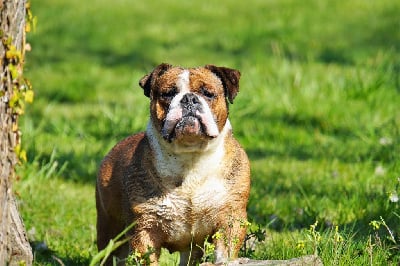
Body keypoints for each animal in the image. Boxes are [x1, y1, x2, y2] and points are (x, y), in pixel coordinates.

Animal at [96, 63, 250, 264]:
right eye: (168, 94)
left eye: (208, 93)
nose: (189, 99)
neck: (190, 158)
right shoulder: (145, 229)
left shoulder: (231, 218)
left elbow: (225, 252)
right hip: (111, 232)